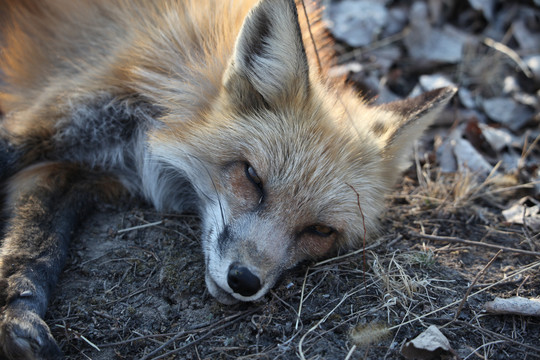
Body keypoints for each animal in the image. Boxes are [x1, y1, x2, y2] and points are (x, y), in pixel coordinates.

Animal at [0, 0, 456, 358]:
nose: (244, 281)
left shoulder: (81, 174)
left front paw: (16, 314)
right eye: (252, 176)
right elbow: (36, 241)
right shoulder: (53, 118)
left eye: (320, 231)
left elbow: (36, 247)